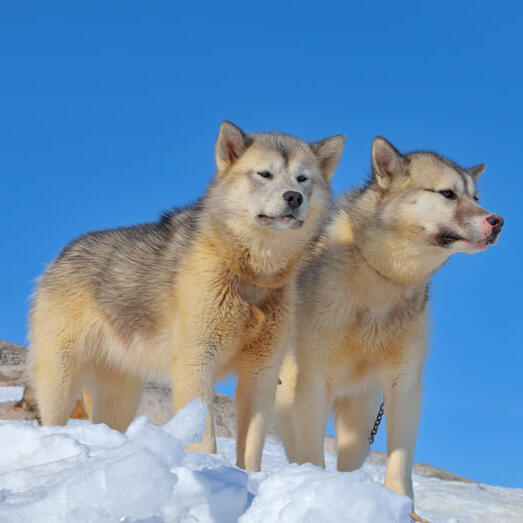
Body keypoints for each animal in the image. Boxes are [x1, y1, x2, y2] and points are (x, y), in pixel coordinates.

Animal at [30, 121, 346, 472]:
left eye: (303, 178)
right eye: (265, 174)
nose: (294, 197)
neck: (249, 275)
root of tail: (60, 256)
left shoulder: (261, 375)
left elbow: (251, 451)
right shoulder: (196, 365)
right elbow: (206, 439)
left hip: (120, 397)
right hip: (59, 382)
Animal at [278, 135, 504, 516]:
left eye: (476, 198)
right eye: (448, 194)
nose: (498, 221)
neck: (381, 280)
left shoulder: (405, 386)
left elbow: (400, 462)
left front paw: (403, 508)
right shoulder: (312, 383)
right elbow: (310, 453)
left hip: (360, 418)